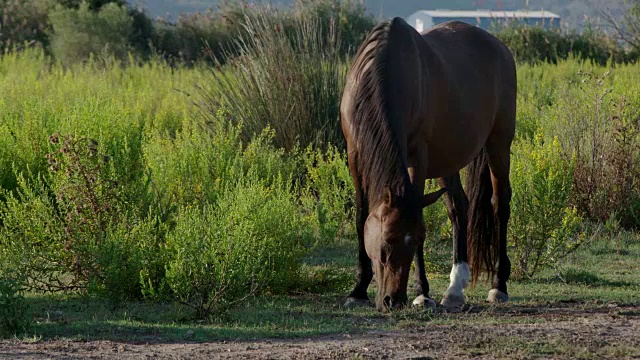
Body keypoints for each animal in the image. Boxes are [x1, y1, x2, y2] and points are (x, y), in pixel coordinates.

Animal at [340, 16, 516, 310]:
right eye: (385, 244)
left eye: (414, 242)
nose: (393, 300)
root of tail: (501, 48)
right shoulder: (354, 153)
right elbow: (361, 216)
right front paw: (358, 289)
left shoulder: (417, 157)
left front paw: (422, 292)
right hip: (448, 158)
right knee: (459, 206)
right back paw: (455, 288)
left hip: (499, 143)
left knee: (500, 204)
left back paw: (498, 286)